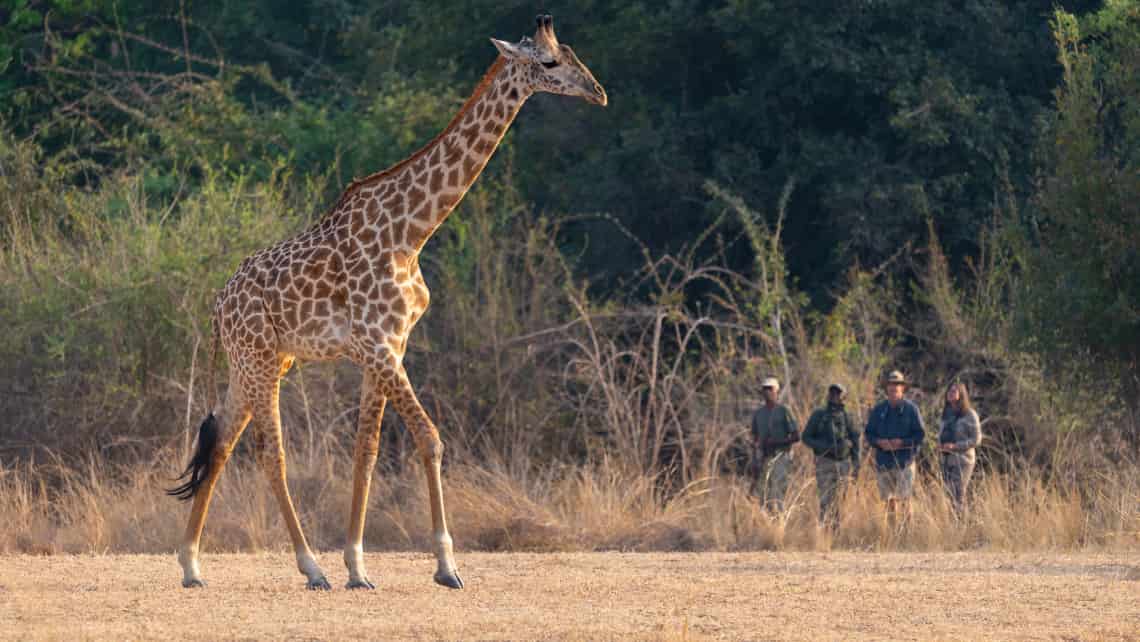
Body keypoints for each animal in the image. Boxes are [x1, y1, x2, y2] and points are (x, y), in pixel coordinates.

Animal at [167, 13, 606, 592]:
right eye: (551, 62)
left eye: (574, 53)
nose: (598, 92)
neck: (411, 232)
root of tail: (218, 305)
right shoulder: (377, 345)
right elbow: (429, 437)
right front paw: (446, 567)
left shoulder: (389, 346)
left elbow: (366, 452)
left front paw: (358, 566)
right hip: (258, 360)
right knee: (269, 453)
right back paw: (310, 567)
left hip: (260, 362)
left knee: (219, 440)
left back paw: (192, 565)